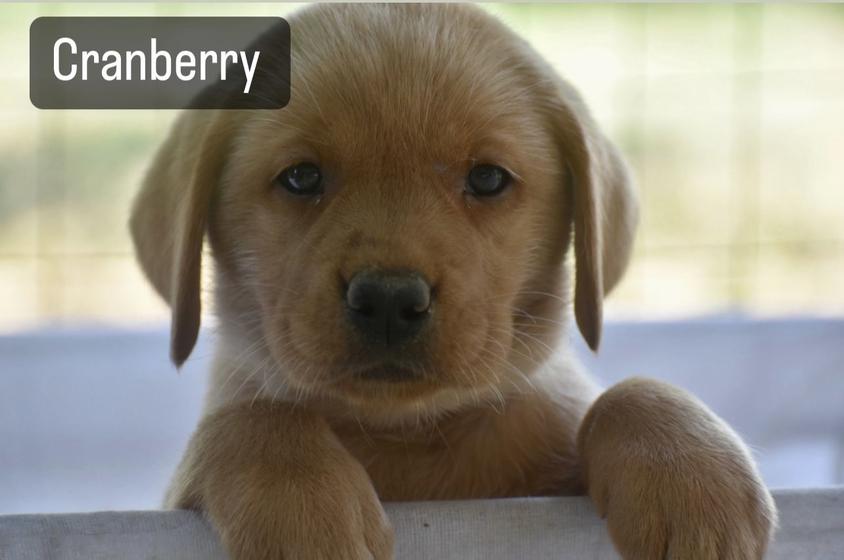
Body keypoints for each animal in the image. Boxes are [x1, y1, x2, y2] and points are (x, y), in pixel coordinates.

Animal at [130, 4, 780, 560]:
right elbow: (256, 417)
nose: (389, 299)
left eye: (488, 179)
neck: (410, 436)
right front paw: (302, 508)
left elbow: (628, 393)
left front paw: (690, 473)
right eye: (301, 177)